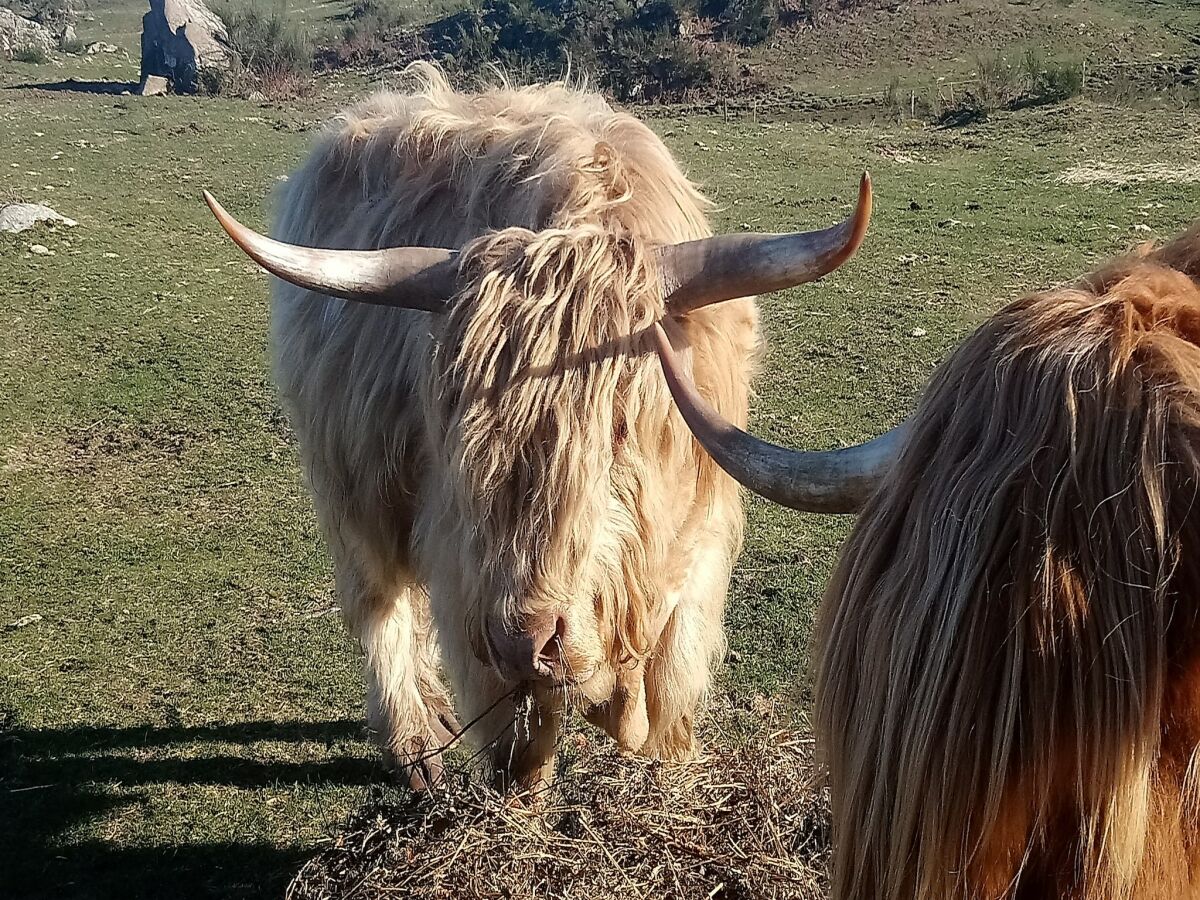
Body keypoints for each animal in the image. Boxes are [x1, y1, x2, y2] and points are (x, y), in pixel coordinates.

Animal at [206, 66, 878, 792]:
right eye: (458, 429)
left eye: (619, 428)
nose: (524, 638)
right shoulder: (465, 568)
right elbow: (521, 734)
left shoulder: (696, 553)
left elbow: (671, 691)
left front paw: (670, 776)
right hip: (348, 481)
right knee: (379, 600)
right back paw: (415, 741)